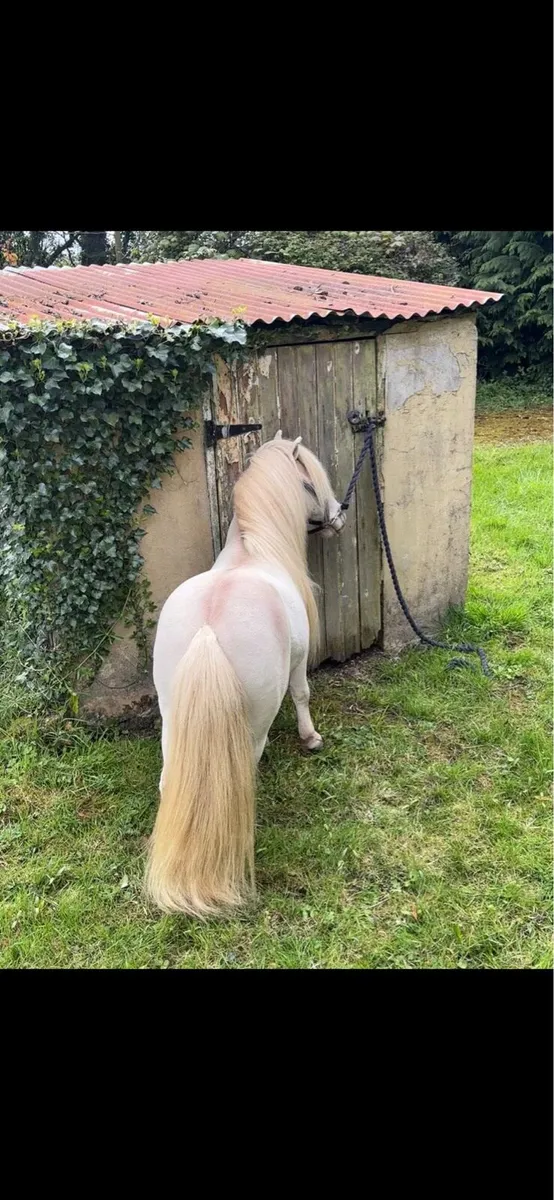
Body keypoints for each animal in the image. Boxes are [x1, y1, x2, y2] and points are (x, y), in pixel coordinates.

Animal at [145, 431, 346, 918]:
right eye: (312, 482)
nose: (340, 515)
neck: (252, 553)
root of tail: (208, 632)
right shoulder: (298, 658)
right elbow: (302, 694)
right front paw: (311, 738)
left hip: (173, 720)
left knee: (169, 781)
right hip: (253, 725)